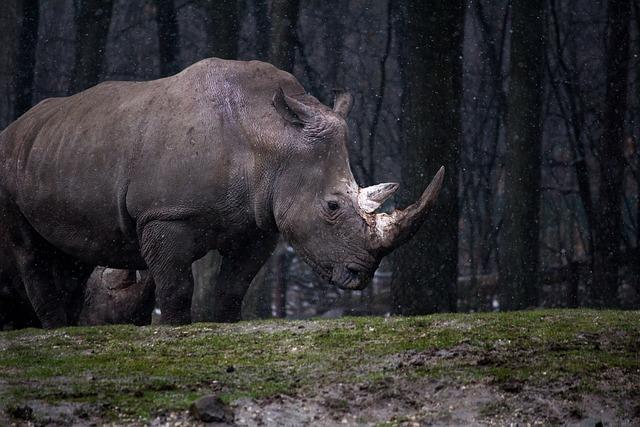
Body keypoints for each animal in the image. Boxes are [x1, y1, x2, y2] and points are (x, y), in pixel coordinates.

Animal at [0, 58, 444, 328]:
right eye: (332, 206)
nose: (360, 275)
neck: (271, 137)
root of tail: (15, 126)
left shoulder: (259, 222)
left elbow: (234, 285)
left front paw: (223, 323)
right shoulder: (165, 214)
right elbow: (177, 285)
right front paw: (174, 327)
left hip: (59, 149)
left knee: (70, 255)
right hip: (9, 164)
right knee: (30, 250)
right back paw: (56, 330)